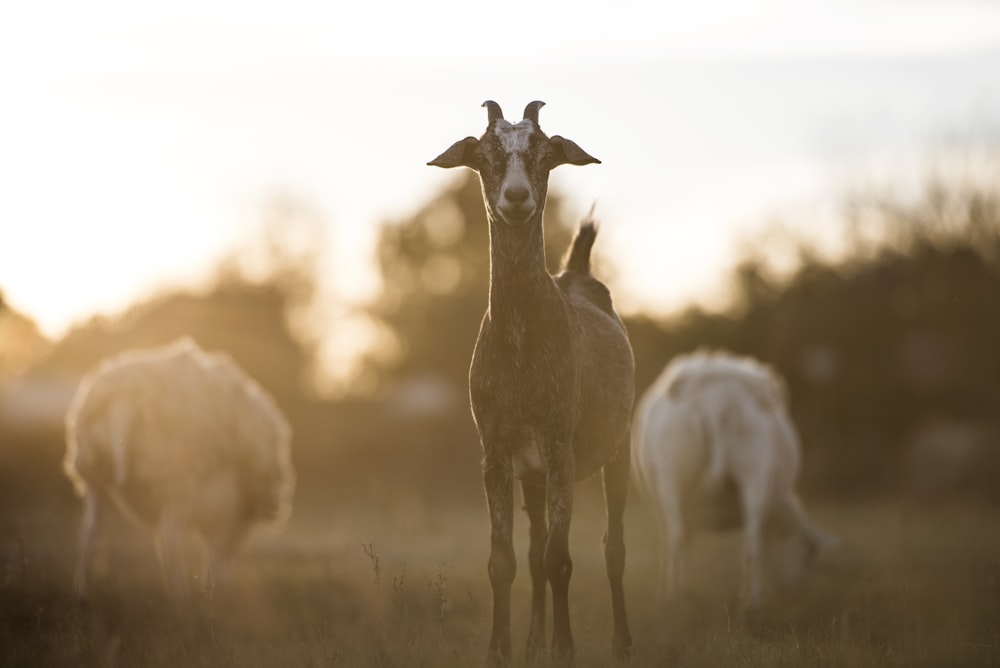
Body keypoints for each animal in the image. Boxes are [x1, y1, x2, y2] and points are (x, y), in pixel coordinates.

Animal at [64, 336, 292, 596]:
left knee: (90, 533)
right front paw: (216, 588)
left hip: (93, 473)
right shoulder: (224, 517)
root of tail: (122, 397)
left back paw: (82, 592)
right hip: (177, 478)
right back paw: (181, 594)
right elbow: (214, 552)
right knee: (170, 538)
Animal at [430, 102, 632, 664]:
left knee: (613, 548)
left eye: (544, 154)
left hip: (619, 447)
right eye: (484, 154)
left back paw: (621, 642)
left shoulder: (560, 443)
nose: (517, 197)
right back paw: (533, 640)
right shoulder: (497, 451)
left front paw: (565, 648)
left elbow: (562, 558)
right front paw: (501, 650)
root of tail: (578, 272)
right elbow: (507, 560)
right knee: (536, 550)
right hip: (534, 476)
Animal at [632, 350, 836, 612]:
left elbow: (678, 540)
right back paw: (750, 601)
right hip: (753, 469)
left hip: (675, 471)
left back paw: (678, 598)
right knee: (749, 543)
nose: (799, 595)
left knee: (682, 537)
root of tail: (718, 403)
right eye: (809, 555)